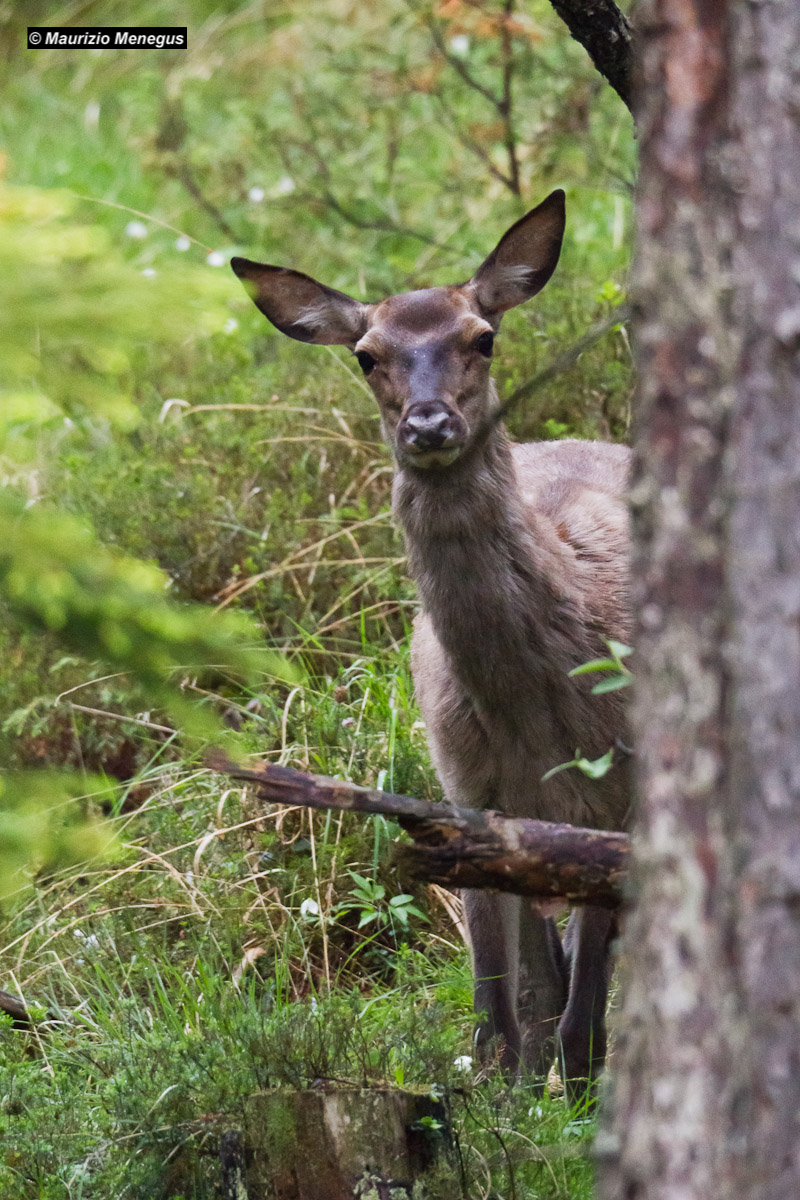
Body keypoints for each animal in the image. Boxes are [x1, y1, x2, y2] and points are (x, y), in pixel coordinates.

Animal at [231, 189, 632, 1094]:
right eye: (366, 355)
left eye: (482, 336)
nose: (428, 422)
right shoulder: (463, 783)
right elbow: (498, 1010)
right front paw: (504, 1097)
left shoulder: (621, 779)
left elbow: (585, 1008)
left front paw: (580, 1098)